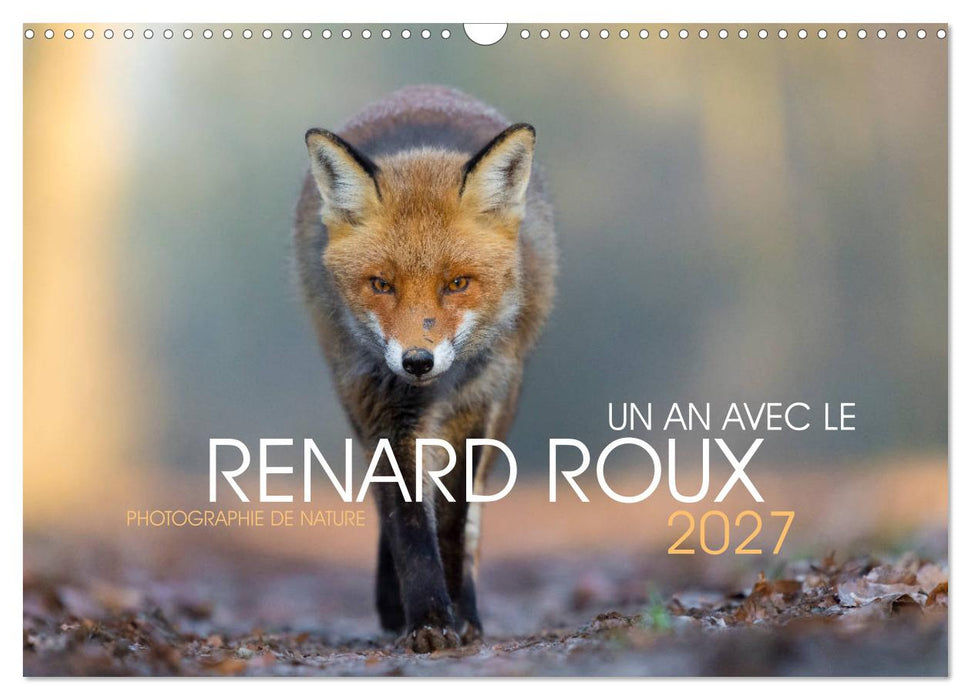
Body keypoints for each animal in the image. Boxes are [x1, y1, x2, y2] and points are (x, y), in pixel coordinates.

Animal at [294, 85, 556, 652]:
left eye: (457, 284)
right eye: (381, 284)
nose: (417, 360)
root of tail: (425, 92)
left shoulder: (474, 409)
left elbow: (454, 522)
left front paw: (457, 612)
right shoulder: (382, 408)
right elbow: (409, 522)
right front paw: (428, 619)